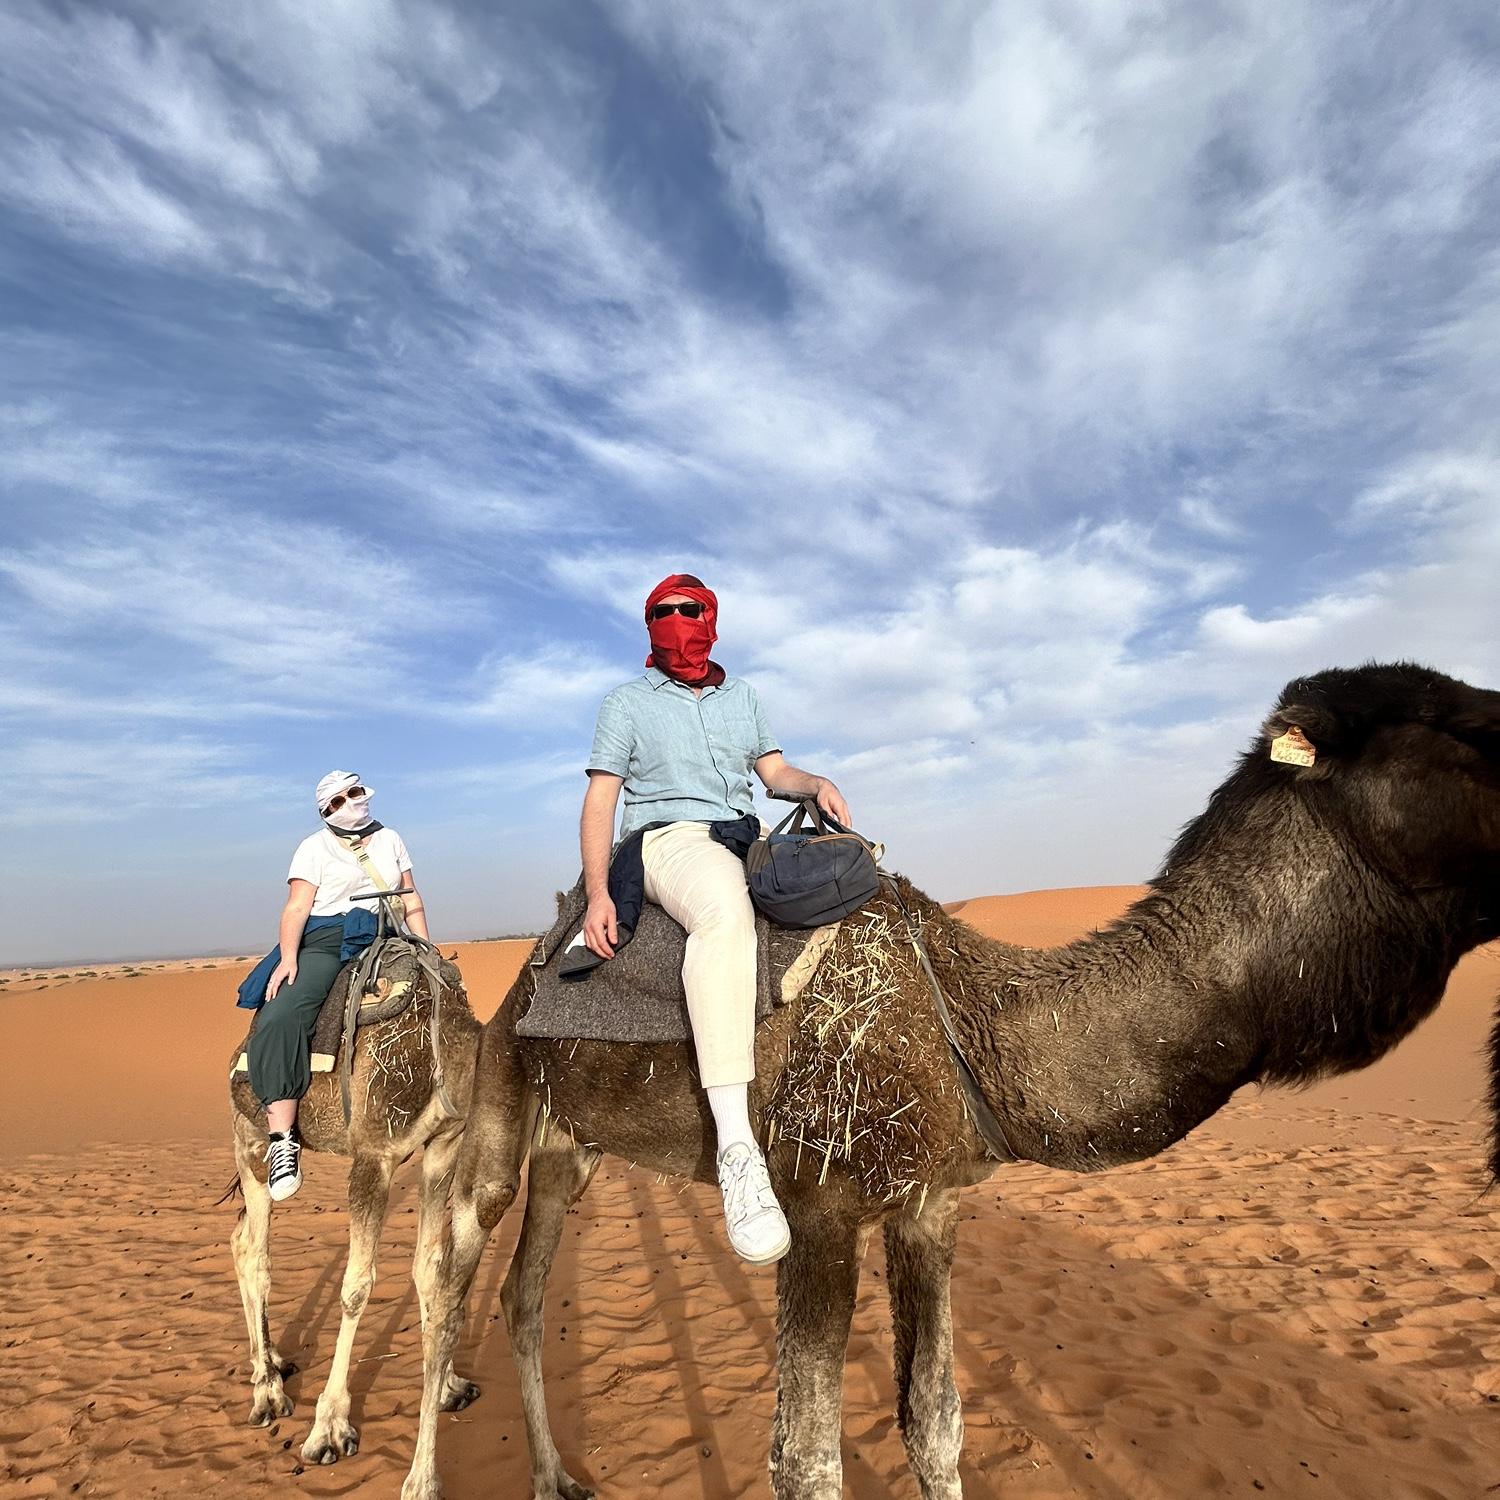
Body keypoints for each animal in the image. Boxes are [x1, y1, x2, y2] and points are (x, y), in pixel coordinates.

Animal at [226, 939, 483, 1466]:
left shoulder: (443, 1146)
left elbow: (431, 1267)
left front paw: (448, 1386)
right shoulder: (373, 1156)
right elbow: (355, 1288)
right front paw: (329, 1427)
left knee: (240, 1240)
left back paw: (272, 1362)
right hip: (251, 1141)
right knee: (254, 1252)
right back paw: (268, 1393)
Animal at [399, 660, 1500, 1500]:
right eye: (1464, 729)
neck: (963, 1015)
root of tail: (541, 949)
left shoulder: (928, 1203)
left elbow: (933, 1419)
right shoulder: (819, 1206)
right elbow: (806, 1460)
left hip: (573, 1147)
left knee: (525, 1295)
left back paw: (555, 1477)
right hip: (503, 1091)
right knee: (453, 1267)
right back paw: (422, 1469)